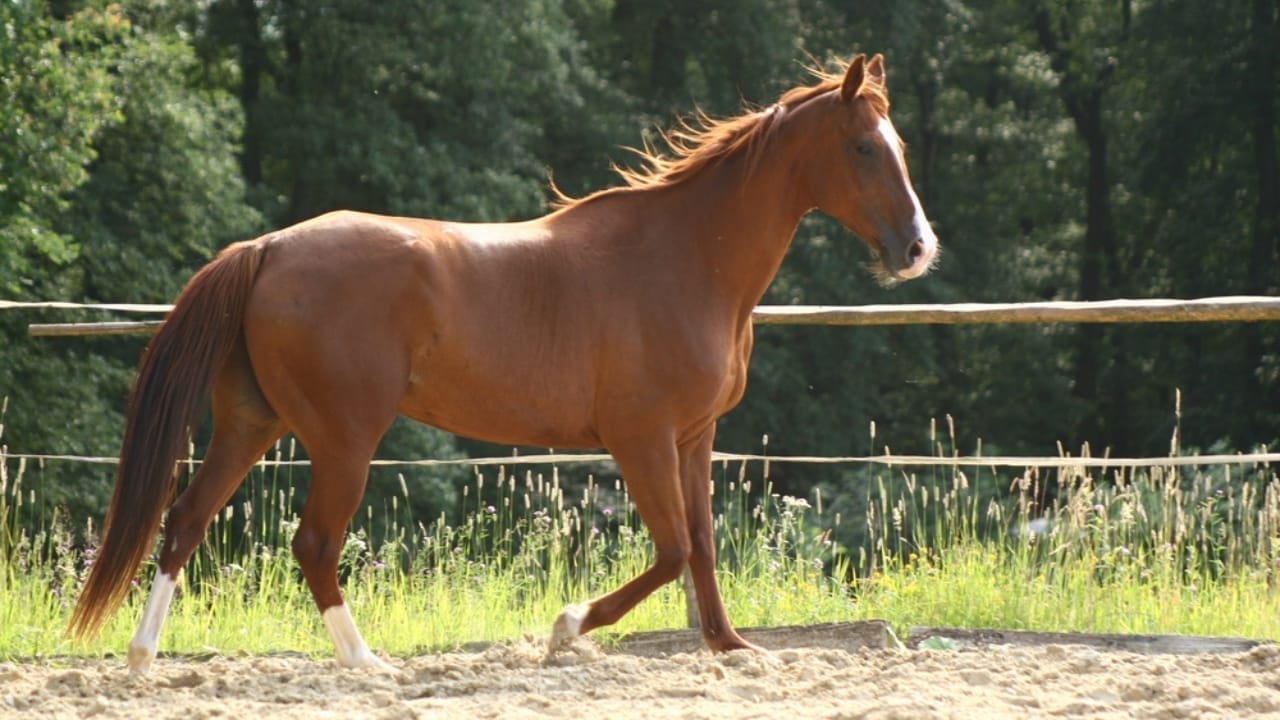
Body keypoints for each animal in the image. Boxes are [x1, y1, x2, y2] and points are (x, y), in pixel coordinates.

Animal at [69, 52, 937, 674]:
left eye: (900, 146)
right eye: (864, 147)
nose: (918, 250)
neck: (685, 259)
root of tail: (268, 248)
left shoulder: (693, 438)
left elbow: (702, 547)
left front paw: (731, 647)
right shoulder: (641, 439)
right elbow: (672, 551)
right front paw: (565, 628)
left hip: (252, 423)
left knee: (184, 521)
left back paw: (142, 659)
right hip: (344, 439)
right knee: (312, 543)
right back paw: (367, 664)